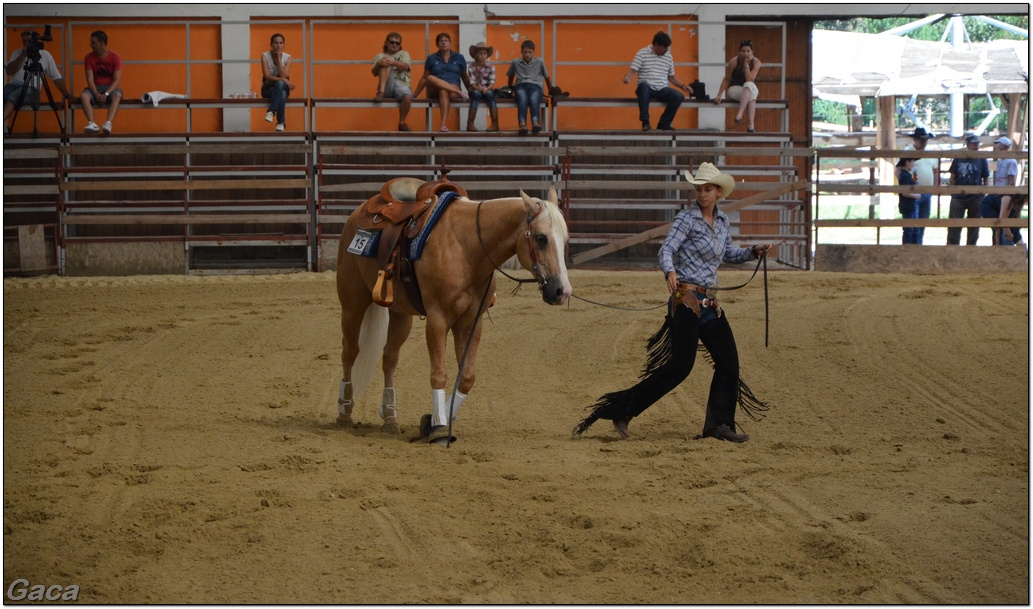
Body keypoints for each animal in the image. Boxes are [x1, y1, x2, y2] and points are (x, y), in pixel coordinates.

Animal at [336, 178, 574, 445]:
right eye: (541, 238)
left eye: (565, 239)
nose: (562, 291)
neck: (467, 247)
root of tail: (359, 212)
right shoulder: (438, 319)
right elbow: (439, 374)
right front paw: (440, 428)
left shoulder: (471, 322)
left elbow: (467, 377)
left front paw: (431, 422)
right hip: (352, 304)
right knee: (350, 352)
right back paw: (344, 412)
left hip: (401, 315)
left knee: (389, 358)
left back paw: (390, 418)